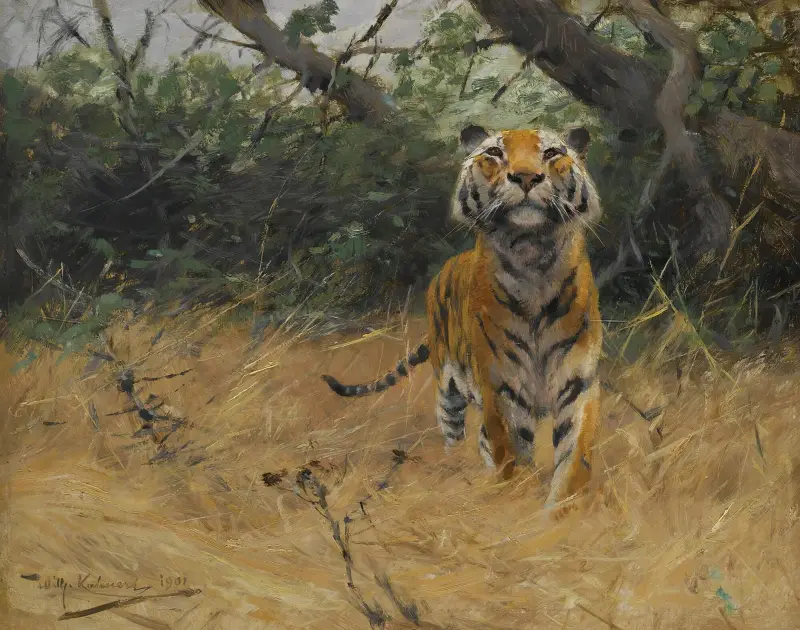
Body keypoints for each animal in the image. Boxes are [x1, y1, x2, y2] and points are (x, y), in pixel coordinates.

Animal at [322, 124, 603, 513]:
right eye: (495, 153)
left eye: (551, 153)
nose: (526, 177)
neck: (532, 255)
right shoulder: (501, 382)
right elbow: (512, 449)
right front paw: (516, 502)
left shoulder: (577, 380)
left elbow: (574, 454)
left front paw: (562, 511)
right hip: (447, 393)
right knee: (457, 434)